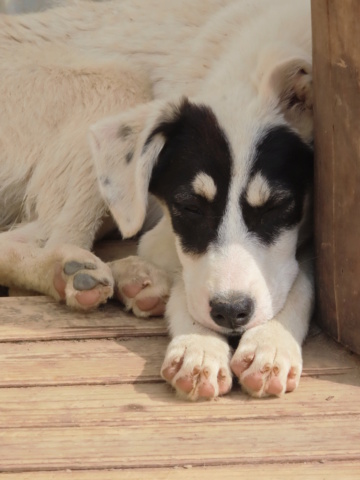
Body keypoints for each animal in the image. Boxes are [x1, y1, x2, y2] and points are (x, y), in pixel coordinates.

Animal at [0, 0, 314, 400]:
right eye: (189, 208)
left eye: (276, 206)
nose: (230, 312)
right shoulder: (167, 235)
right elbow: (191, 283)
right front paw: (199, 347)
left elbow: (300, 277)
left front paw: (271, 343)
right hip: (119, 87)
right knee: (52, 238)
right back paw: (73, 271)